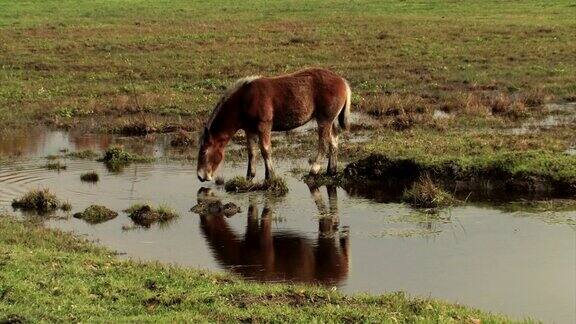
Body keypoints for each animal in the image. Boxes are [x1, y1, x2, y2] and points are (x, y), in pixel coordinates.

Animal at [197, 67, 352, 182]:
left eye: (204, 152)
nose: (200, 176)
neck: (245, 99)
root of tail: (343, 81)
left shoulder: (264, 126)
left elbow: (265, 150)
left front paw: (270, 176)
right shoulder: (249, 130)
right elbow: (251, 152)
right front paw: (249, 176)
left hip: (324, 120)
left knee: (323, 144)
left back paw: (314, 170)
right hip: (330, 121)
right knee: (334, 141)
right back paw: (331, 170)